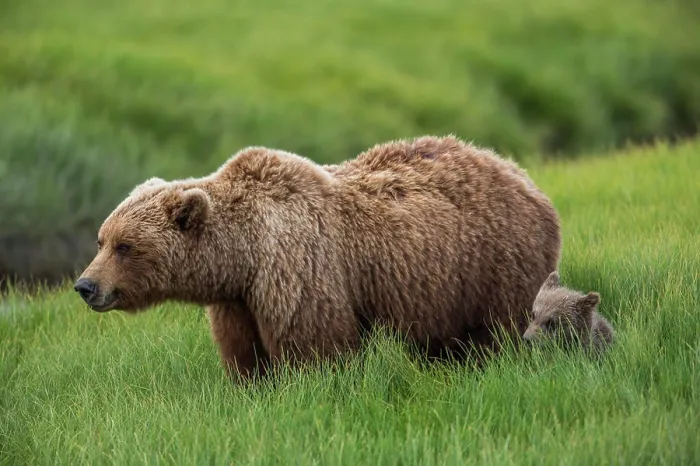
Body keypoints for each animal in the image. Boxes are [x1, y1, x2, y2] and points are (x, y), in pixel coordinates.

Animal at [74, 135, 562, 379]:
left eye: (125, 246)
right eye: (101, 240)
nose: (85, 286)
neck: (242, 253)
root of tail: (522, 175)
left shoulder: (296, 267)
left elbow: (314, 343)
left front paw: (314, 383)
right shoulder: (239, 299)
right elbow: (244, 353)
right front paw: (253, 386)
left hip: (494, 261)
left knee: (496, 330)